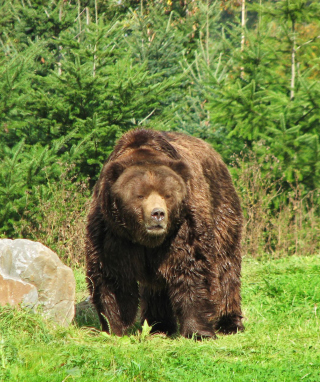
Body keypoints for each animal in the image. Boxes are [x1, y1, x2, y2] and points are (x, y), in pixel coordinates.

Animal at [84, 130, 242, 338]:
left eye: (168, 194)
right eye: (140, 195)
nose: (157, 213)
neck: (146, 239)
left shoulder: (183, 226)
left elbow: (192, 268)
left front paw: (199, 331)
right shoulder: (111, 233)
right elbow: (112, 278)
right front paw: (114, 327)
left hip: (221, 204)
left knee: (226, 264)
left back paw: (229, 322)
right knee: (155, 288)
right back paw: (159, 324)